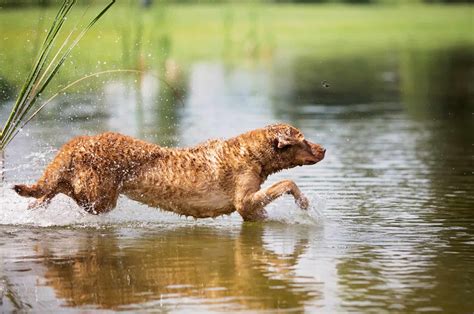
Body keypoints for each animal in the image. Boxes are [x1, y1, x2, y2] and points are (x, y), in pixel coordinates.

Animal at [14, 122, 326, 221]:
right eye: (303, 139)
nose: (324, 149)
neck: (252, 154)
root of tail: (80, 141)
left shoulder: (251, 210)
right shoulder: (244, 202)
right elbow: (287, 182)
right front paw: (303, 202)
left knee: (53, 187)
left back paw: (35, 202)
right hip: (99, 198)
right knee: (62, 188)